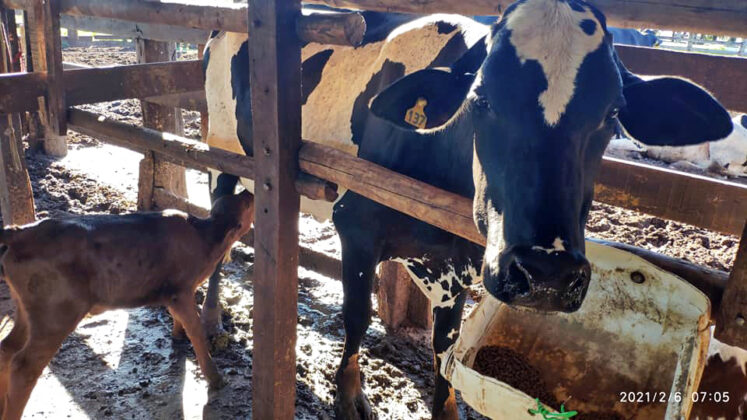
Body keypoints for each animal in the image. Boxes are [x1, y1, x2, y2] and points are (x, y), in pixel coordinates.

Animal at [0, 191, 254, 420]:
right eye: (246, 205)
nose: (248, 192)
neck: (204, 238)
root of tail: (21, 232)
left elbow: (180, 321)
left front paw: (177, 335)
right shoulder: (180, 291)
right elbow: (197, 333)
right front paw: (215, 378)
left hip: (27, 311)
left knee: (7, 348)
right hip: (56, 314)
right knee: (24, 367)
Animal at [203, 1, 732, 418]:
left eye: (614, 112)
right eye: (480, 100)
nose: (548, 274)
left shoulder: (460, 260)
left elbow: (447, 345)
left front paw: (448, 407)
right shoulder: (355, 223)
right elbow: (357, 315)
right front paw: (350, 398)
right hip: (222, 146)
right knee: (220, 227)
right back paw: (212, 321)